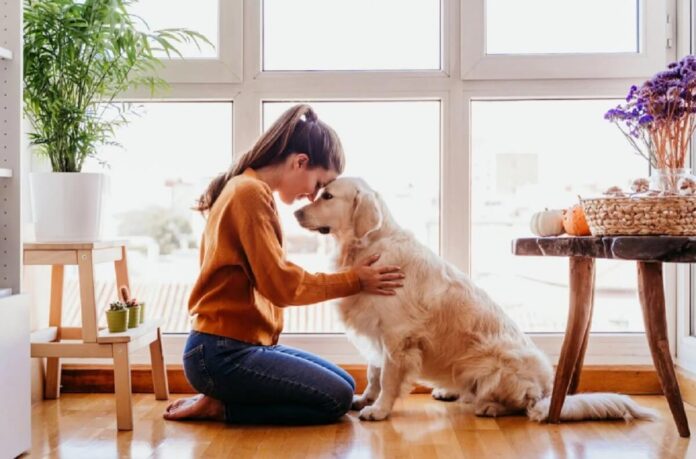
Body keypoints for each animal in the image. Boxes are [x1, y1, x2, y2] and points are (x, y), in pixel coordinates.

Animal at [294, 177, 656, 424]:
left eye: (327, 196)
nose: (296, 211)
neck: (368, 245)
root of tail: (547, 390)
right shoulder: (376, 331)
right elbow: (373, 372)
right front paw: (364, 398)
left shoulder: (397, 336)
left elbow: (388, 377)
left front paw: (379, 409)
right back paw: (450, 391)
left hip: (496, 364)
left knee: (522, 405)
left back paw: (489, 406)